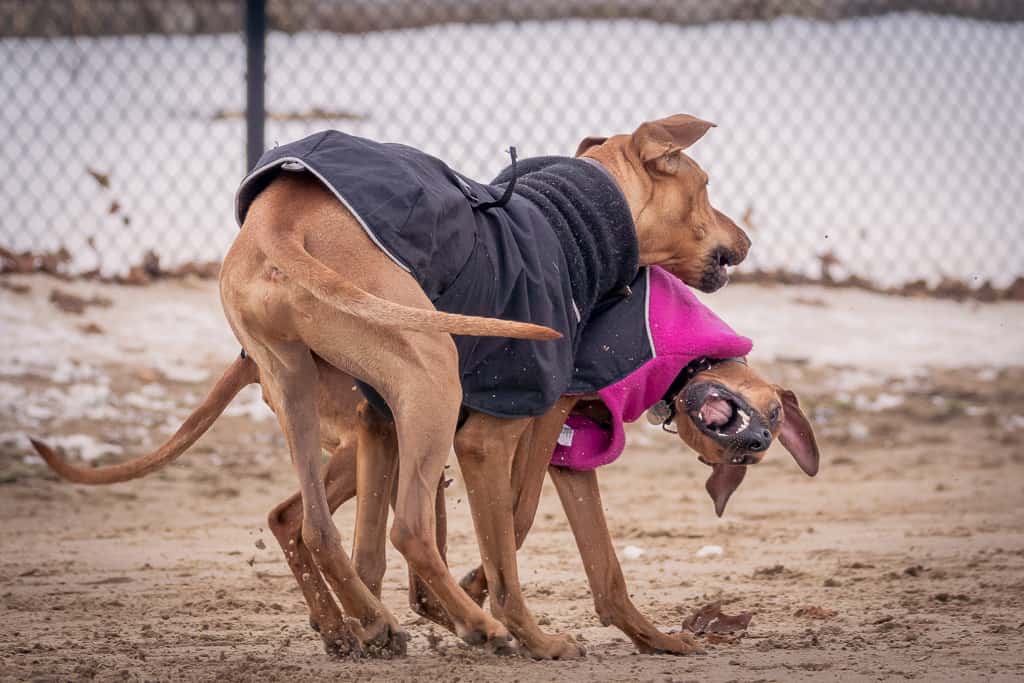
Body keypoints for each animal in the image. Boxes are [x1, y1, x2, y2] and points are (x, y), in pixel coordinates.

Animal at [34, 114, 753, 659]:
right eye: (706, 185)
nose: (746, 242)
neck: (574, 230)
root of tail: (274, 223)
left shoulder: (416, 424)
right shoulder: (497, 431)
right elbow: (511, 527)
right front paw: (526, 632)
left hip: (304, 387)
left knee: (316, 528)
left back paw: (370, 624)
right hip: (430, 376)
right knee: (406, 527)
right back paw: (476, 625)